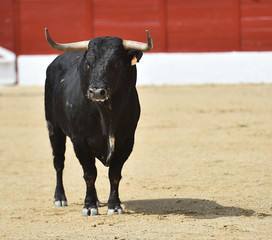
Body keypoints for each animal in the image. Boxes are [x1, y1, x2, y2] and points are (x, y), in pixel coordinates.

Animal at [43, 29, 152, 215]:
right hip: (53, 127)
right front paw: (89, 206)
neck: (107, 113)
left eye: (116, 63)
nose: (96, 92)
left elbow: (114, 175)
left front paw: (114, 205)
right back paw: (60, 198)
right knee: (58, 162)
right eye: (88, 63)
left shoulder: (126, 141)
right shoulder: (80, 141)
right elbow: (89, 174)